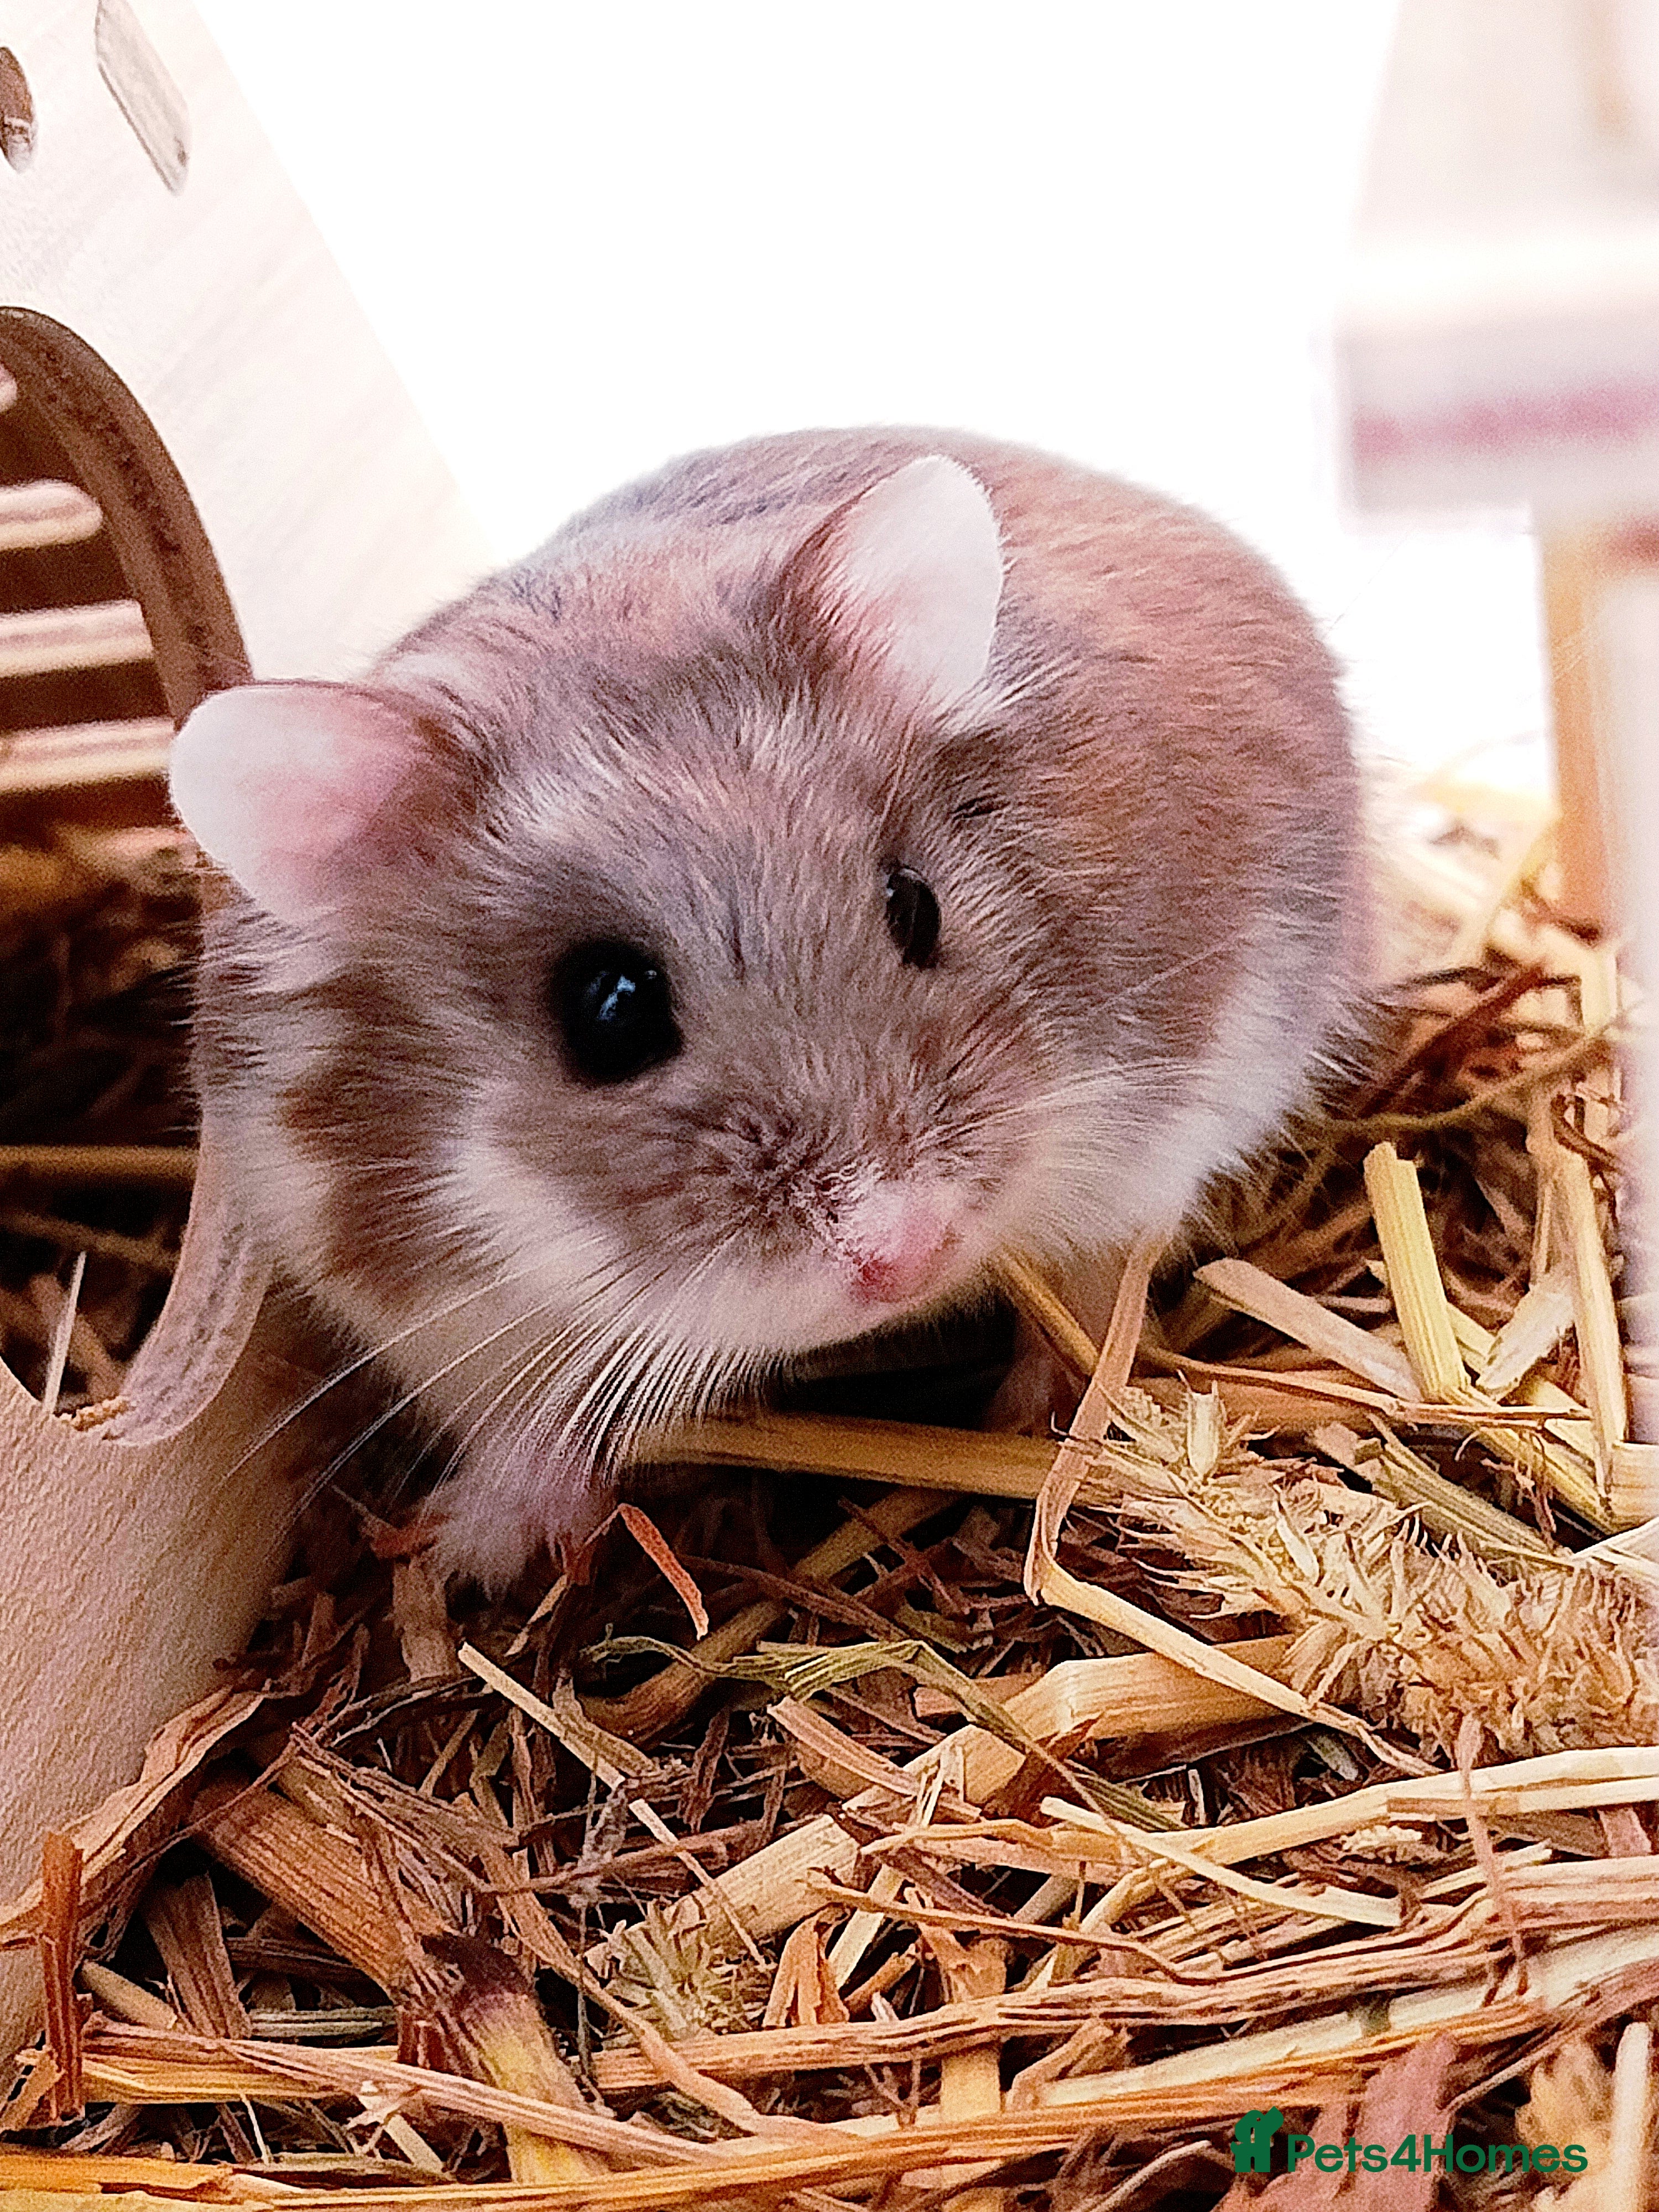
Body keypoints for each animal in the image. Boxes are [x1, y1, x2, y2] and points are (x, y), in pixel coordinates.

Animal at [169, 428, 1363, 1587]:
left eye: (914, 903)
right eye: (608, 1011)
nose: (907, 1253)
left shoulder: (1157, 1124)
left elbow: (1090, 1294)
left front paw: (1048, 1423)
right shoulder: (433, 1315)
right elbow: (517, 1421)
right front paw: (481, 1553)